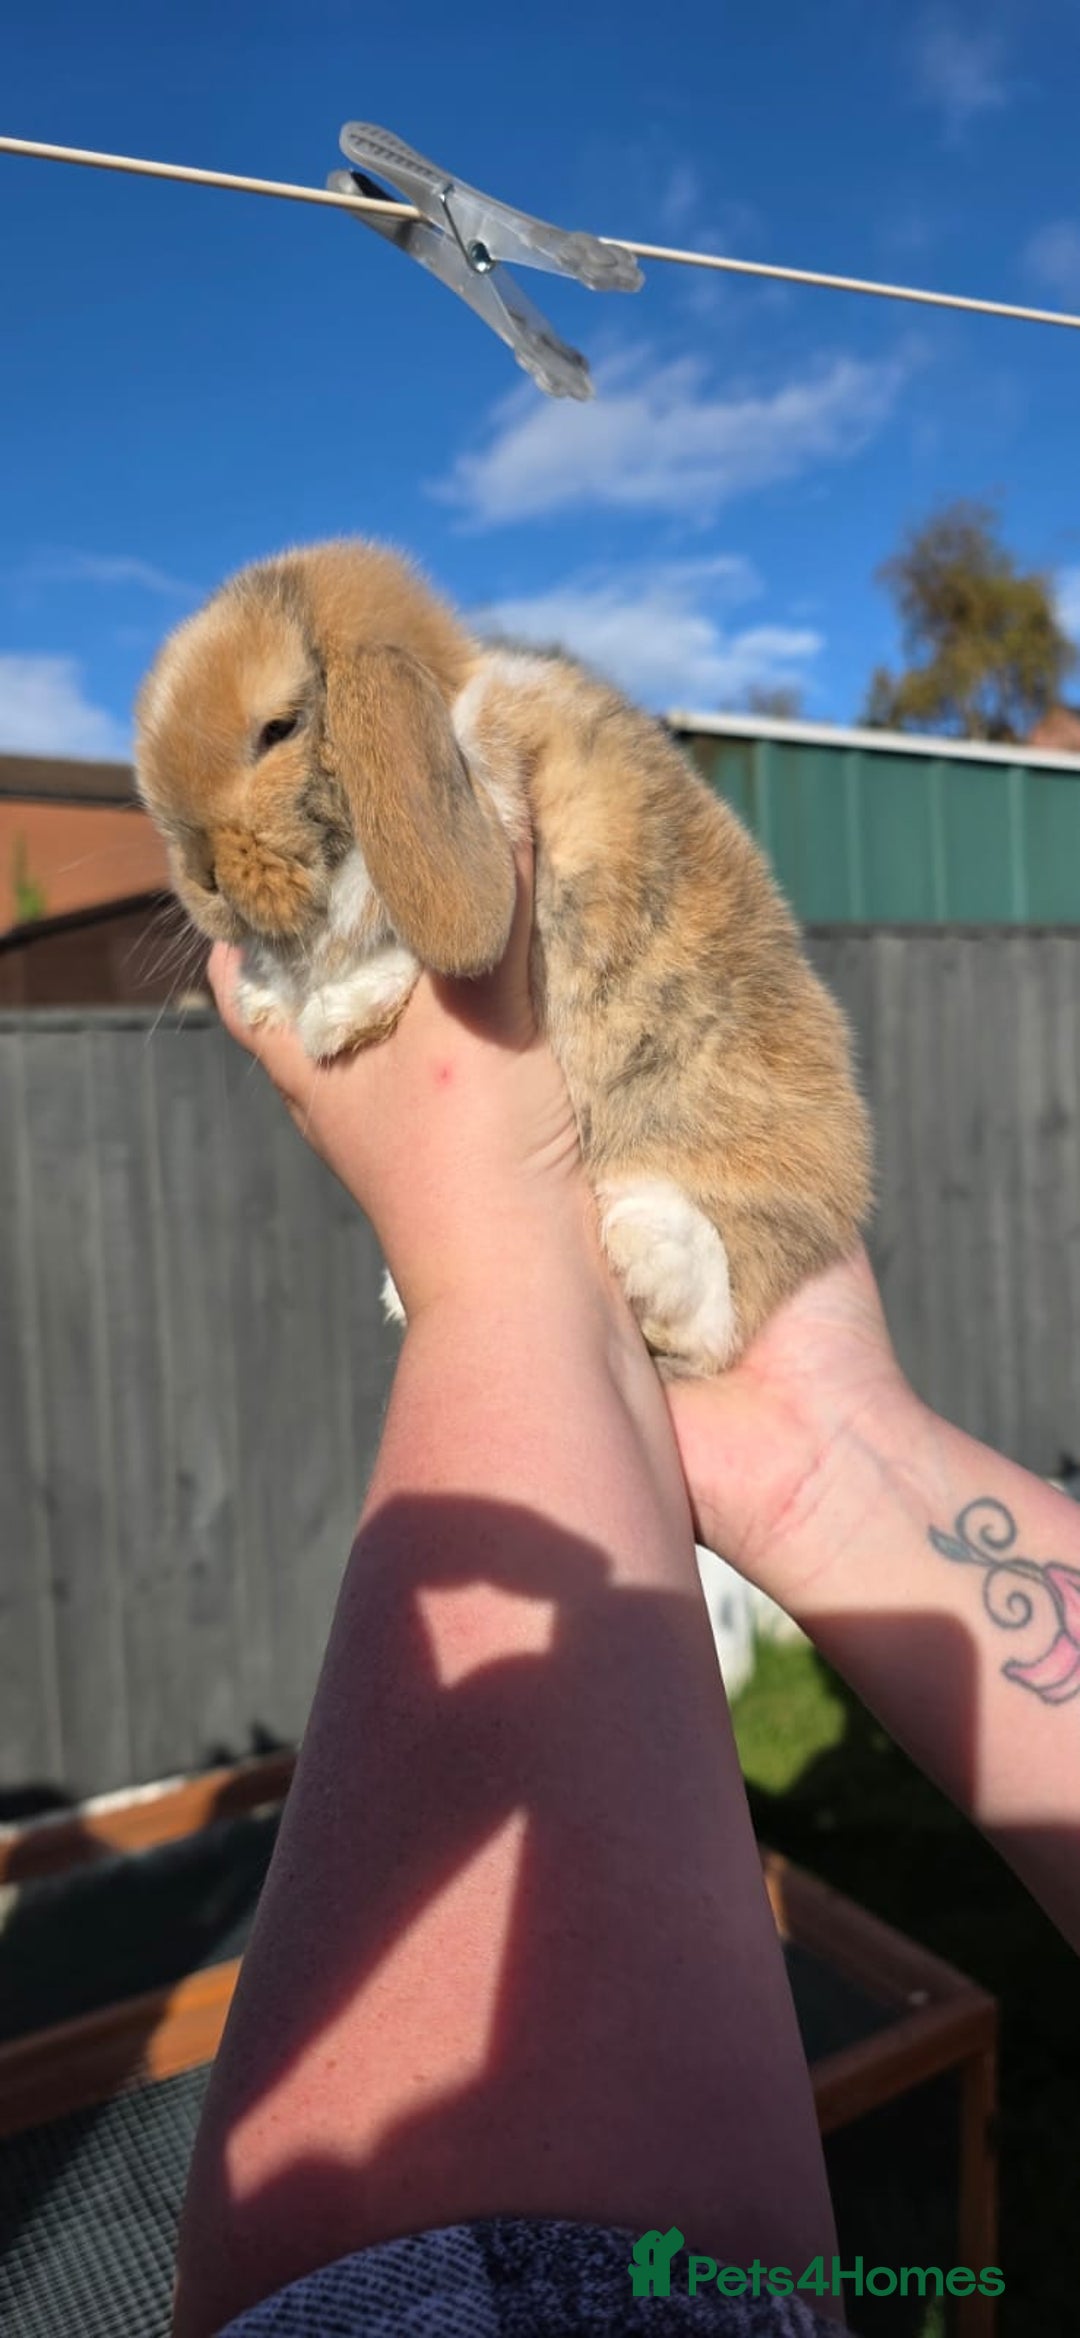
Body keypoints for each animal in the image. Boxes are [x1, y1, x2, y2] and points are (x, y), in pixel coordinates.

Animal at [135, 538, 873, 1377]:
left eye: (277, 728)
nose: (200, 876)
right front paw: (268, 991)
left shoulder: (503, 800)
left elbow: (382, 932)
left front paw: (332, 1012)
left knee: (723, 1306)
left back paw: (650, 1254)